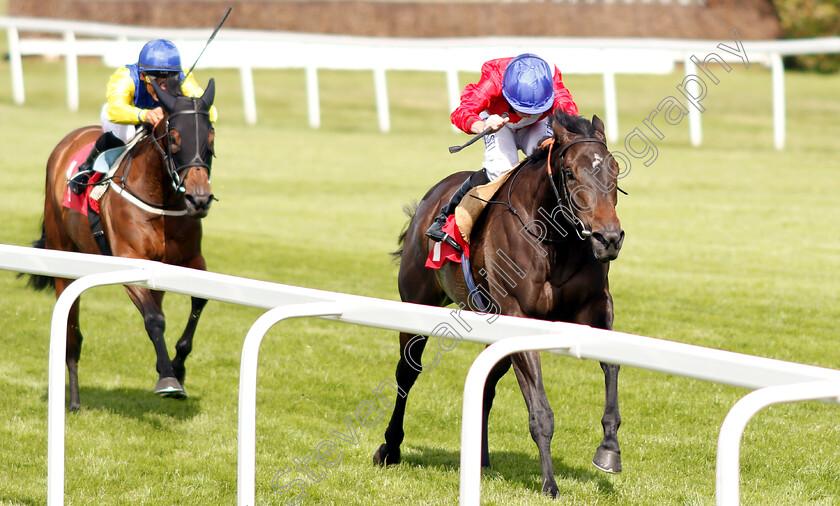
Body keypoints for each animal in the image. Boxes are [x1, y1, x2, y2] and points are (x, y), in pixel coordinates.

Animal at [28, 78, 220, 412]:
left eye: (211, 137)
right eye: (174, 138)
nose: (199, 199)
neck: (160, 199)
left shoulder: (190, 260)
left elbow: (198, 301)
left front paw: (177, 367)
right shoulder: (131, 259)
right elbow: (154, 320)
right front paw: (168, 378)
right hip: (61, 253)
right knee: (72, 336)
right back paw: (74, 401)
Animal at [374, 111, 624, 498]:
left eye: (615, 169)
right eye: (570, 173)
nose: (608, 238)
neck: (553, 239)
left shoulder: (596, 307)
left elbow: (611, 365)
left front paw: (609, 449)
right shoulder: (519, 315)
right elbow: (540, 411)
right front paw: (550, 483)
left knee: (487, 385)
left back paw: (481, 458)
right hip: (417, 301)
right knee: (406, 373)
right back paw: (391, 447)